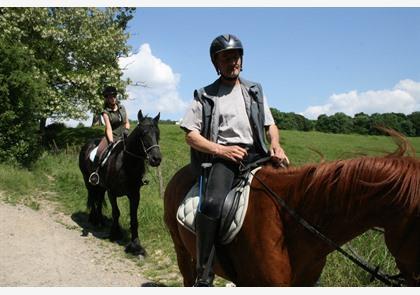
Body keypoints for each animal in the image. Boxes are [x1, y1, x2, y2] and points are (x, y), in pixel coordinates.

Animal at [79, 110, 161, 256]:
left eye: (158, 133)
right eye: (143, 133)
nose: (156, 159)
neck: (125, 163)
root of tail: (87, 144)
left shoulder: (134, 195)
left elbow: (134, 218)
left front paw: (136, 246)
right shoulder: (112, 192)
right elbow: (116, 212)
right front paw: (114, 234)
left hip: (101, 186)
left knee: (98, 199)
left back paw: (100, 221)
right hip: (88, 181)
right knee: (93, 198)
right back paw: (94, 219)